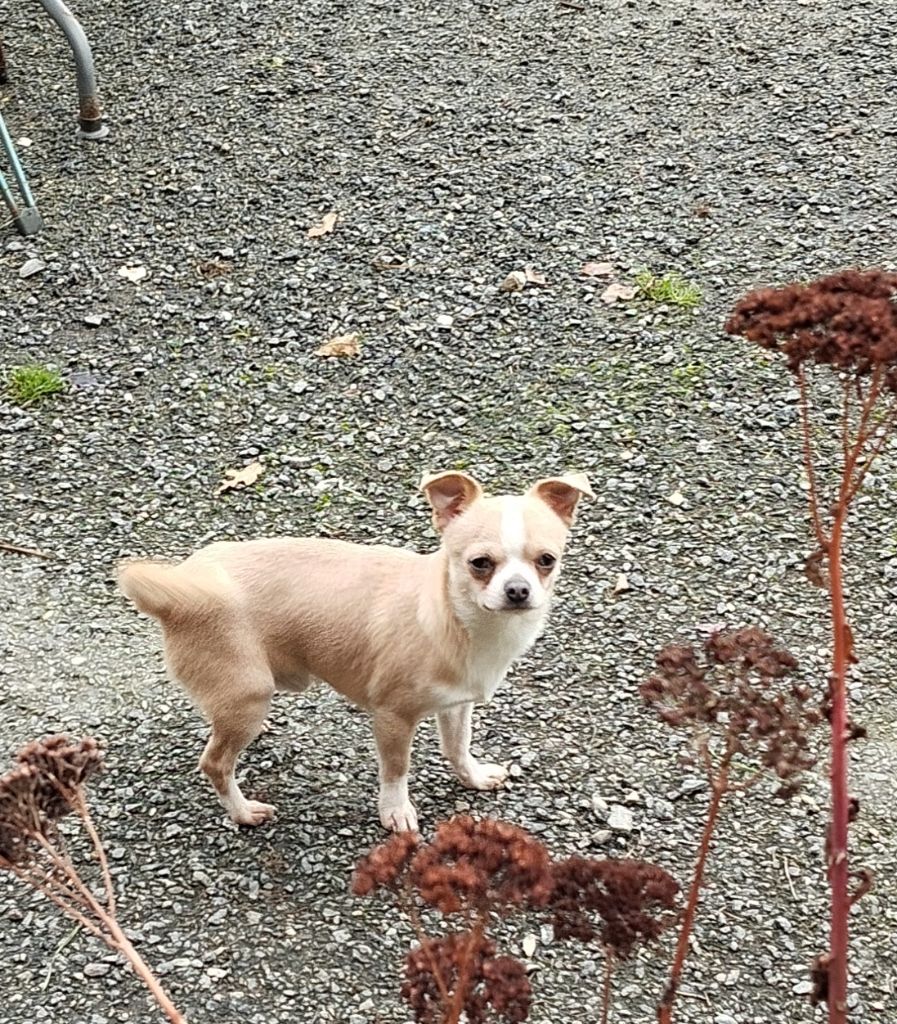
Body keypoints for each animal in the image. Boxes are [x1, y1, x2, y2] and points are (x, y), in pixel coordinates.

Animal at [118, 470, 592, 831]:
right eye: (480, 564)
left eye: (546, 560)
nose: (518, 590)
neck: (460, 620)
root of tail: (181, 586)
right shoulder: (392, 718)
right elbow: (396, 771)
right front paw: (396, 813)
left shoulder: (457, 705)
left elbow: (458, 747)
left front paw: (472, 778)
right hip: (246, 696)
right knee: (216, 763)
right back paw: (243, 812)